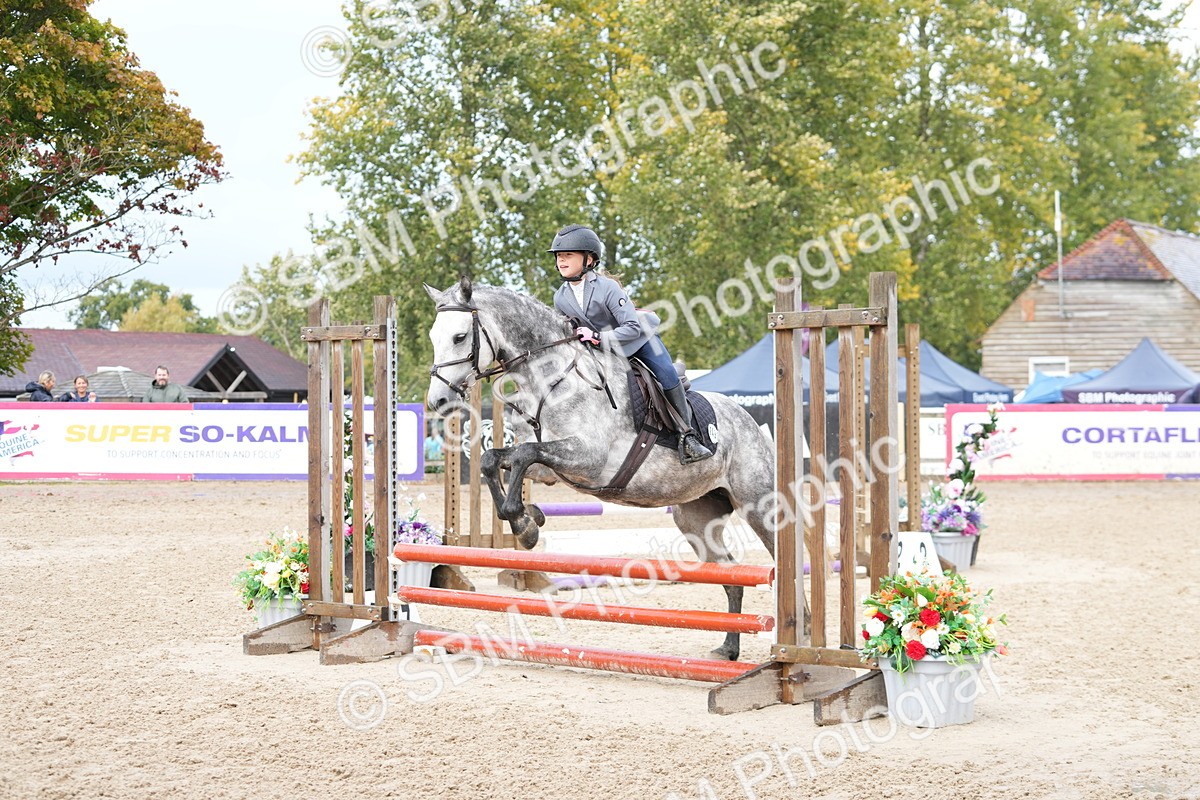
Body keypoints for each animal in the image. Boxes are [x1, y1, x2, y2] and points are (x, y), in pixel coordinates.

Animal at [424, 277, 779, 661]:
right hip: (696, 519)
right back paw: (728, 648)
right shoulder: (552, 469)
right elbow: (498, 459)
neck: (551, 381)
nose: (437, 402)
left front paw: (524, 523)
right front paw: (528, 520)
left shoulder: (589, 459)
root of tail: (749, 422)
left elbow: (524, 455)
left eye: (460, 337)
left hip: (759, 506)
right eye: (432, 336)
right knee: (732, 575)